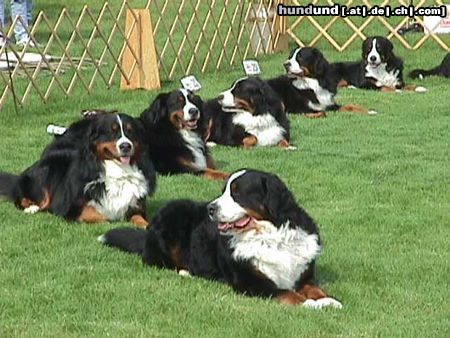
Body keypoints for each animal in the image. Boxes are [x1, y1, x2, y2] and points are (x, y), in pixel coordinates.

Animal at [0, 113, 156, 227]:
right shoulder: (71, 208)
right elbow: (97, 215)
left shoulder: (136, 207)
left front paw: (145, 226)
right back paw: (31, 208)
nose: (126, 146)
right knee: (23, 198)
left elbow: (140, 218)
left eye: (130, 132)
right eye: (112, 132)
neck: (119, 172)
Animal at [100, 169, 342, 308]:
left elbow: (314, 288)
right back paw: (186, 271)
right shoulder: (253, 284)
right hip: (173, 217)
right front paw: (311, 305)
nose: (211, 209)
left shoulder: (303, 275)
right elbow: (289, 294)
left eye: (237, 192)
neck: (270, 237)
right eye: (224, 190)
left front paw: (328, 300)